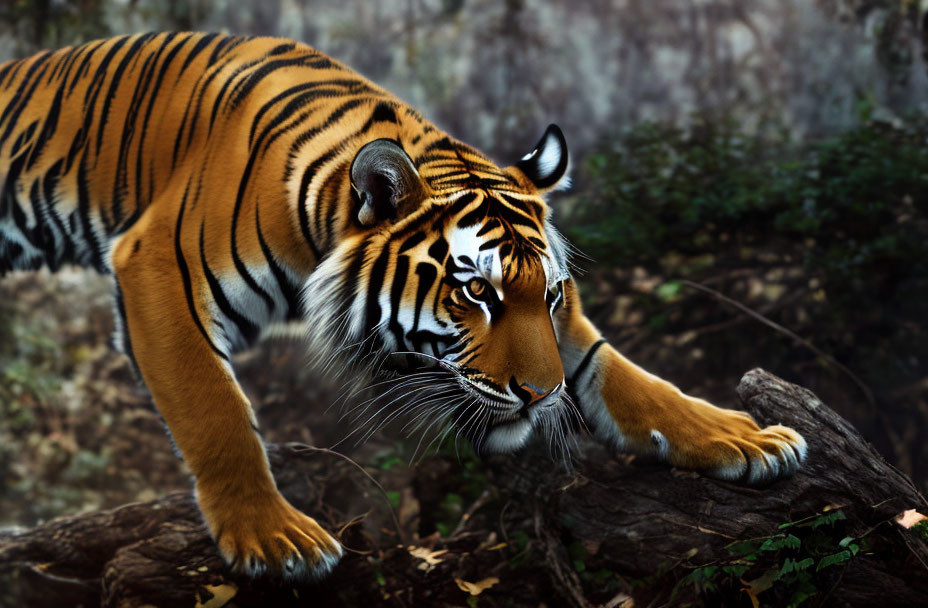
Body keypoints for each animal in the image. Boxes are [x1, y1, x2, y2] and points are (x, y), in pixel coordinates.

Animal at [0, 33, 804, 580]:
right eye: (476, 291)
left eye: (546, 295)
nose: (541, 396)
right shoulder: (155, 265)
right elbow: (214, 409)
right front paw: (270, 536)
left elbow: (624, 374)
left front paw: (742, 438)